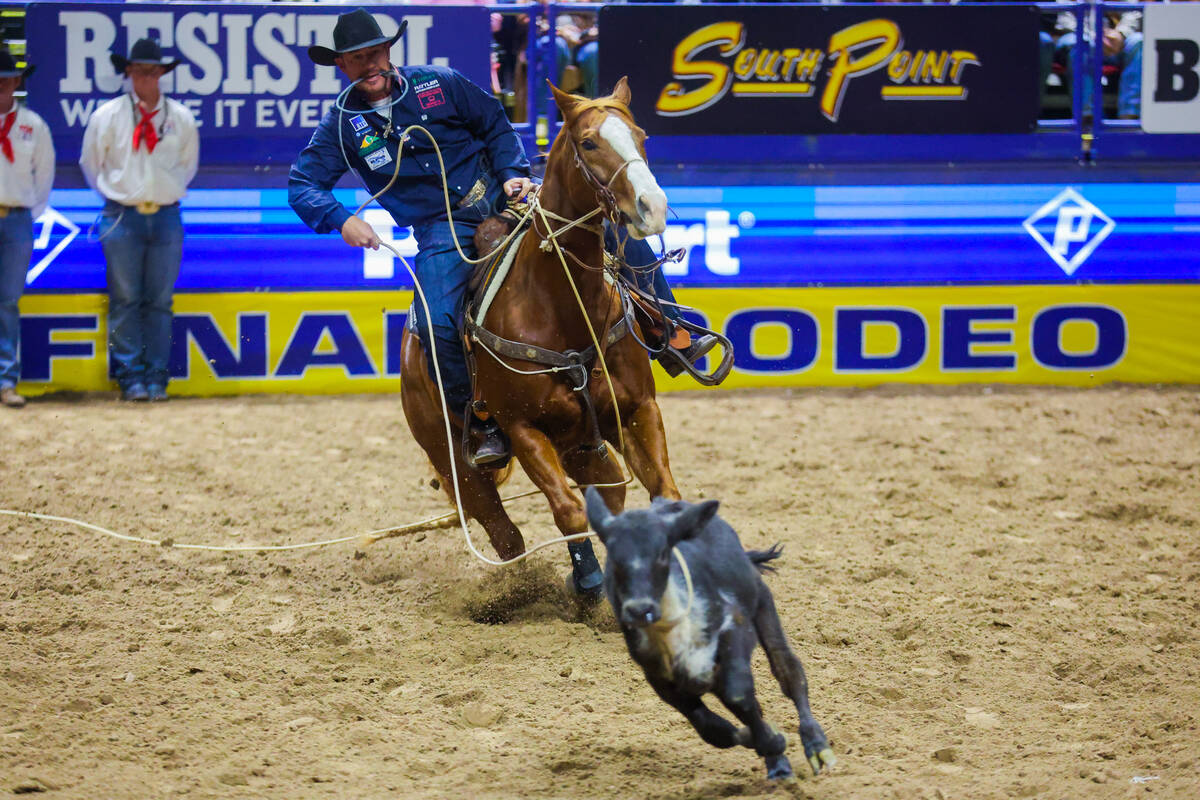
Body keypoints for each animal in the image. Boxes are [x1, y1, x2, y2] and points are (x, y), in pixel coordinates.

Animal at [398, 77, 681, 585]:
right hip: (455, 459)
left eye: (641, 135)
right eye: (588, 143)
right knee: (504, 532)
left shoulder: (637, 408)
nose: (652, 207)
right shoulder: (522, 428)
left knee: (609, 491)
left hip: (584, 445)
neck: (564, 309)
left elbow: (665, 495)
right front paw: (587, 582)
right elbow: (567, 511)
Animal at [583, 489, 835, 782]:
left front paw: (774, 740)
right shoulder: (660, 679)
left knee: (788, 671)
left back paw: (817, 747)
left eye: (661, 554)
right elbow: (712, 729)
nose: (639, 609)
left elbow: (738, 695)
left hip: (763, 603)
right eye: (614, 558)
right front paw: (767, 740)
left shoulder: (735, 631)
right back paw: (778, 765)